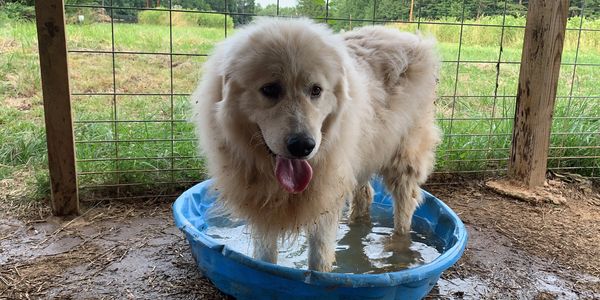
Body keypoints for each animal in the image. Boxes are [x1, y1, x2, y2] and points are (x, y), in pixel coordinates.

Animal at [192, 18, 440, 272]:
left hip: (403, 160)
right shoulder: (264, 211)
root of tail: (406, 36)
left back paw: (399, 247)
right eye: (270, 89)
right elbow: (265, 258)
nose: (303, 146)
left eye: (316, 90)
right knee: (365, 195)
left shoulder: (324, 204)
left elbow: (318, 261)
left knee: (404, 206)